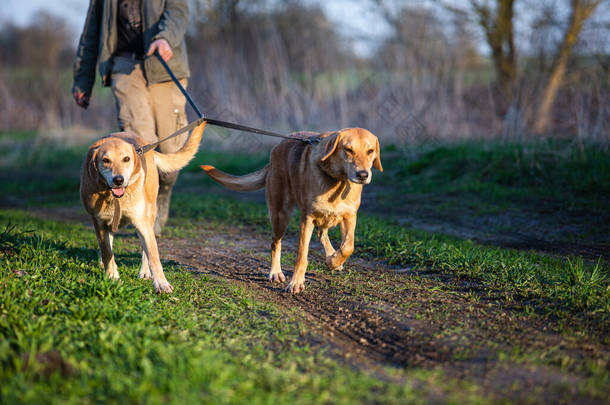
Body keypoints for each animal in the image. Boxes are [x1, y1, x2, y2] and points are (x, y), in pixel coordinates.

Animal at [80, 121, 207, 292]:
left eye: (126, 159)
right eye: (105, 160)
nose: (118, 180)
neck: (115, 198)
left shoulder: (142, 222)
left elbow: (153, 256)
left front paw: (161, 283)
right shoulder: (99, 223)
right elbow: (107, 252)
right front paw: (112, 277)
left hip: (149, 216)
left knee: (145, 249)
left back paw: (145, 272)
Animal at [200, 128, 380, 292]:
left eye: (370, 151)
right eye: (348, 150)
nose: (363, 175)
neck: (337, 180)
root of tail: (276, 150)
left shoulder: (349, 217)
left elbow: (348, 247)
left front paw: (333, 261)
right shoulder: (307, 219)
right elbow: (301, 256)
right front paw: (296, 283)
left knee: (322, 233)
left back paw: (331, 256)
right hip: (280, 216)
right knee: (275, 243)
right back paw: (275, 272)